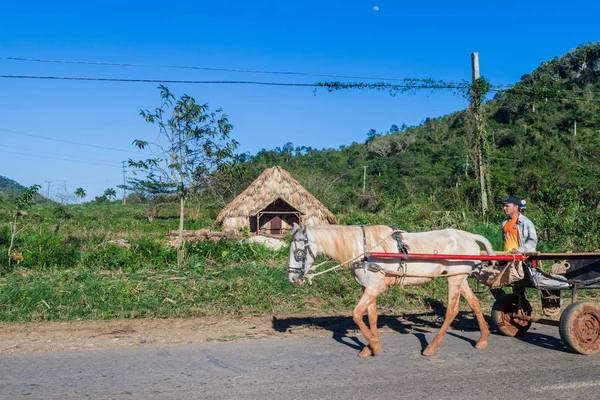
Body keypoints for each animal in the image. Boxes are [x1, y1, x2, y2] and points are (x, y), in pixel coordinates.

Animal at [288, 223, 494, 358]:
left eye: (298, 252)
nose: (292, 279)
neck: (365, 250)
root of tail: (469, 236)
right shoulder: (367, 286)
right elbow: (371, 316)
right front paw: (371, 345)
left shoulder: (376, 287)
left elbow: (356, 314)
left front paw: (373, 345)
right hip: (461, 277)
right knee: (474, 303)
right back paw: (483, 339)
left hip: (454, 279)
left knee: (452, 310)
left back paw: (432, 346)